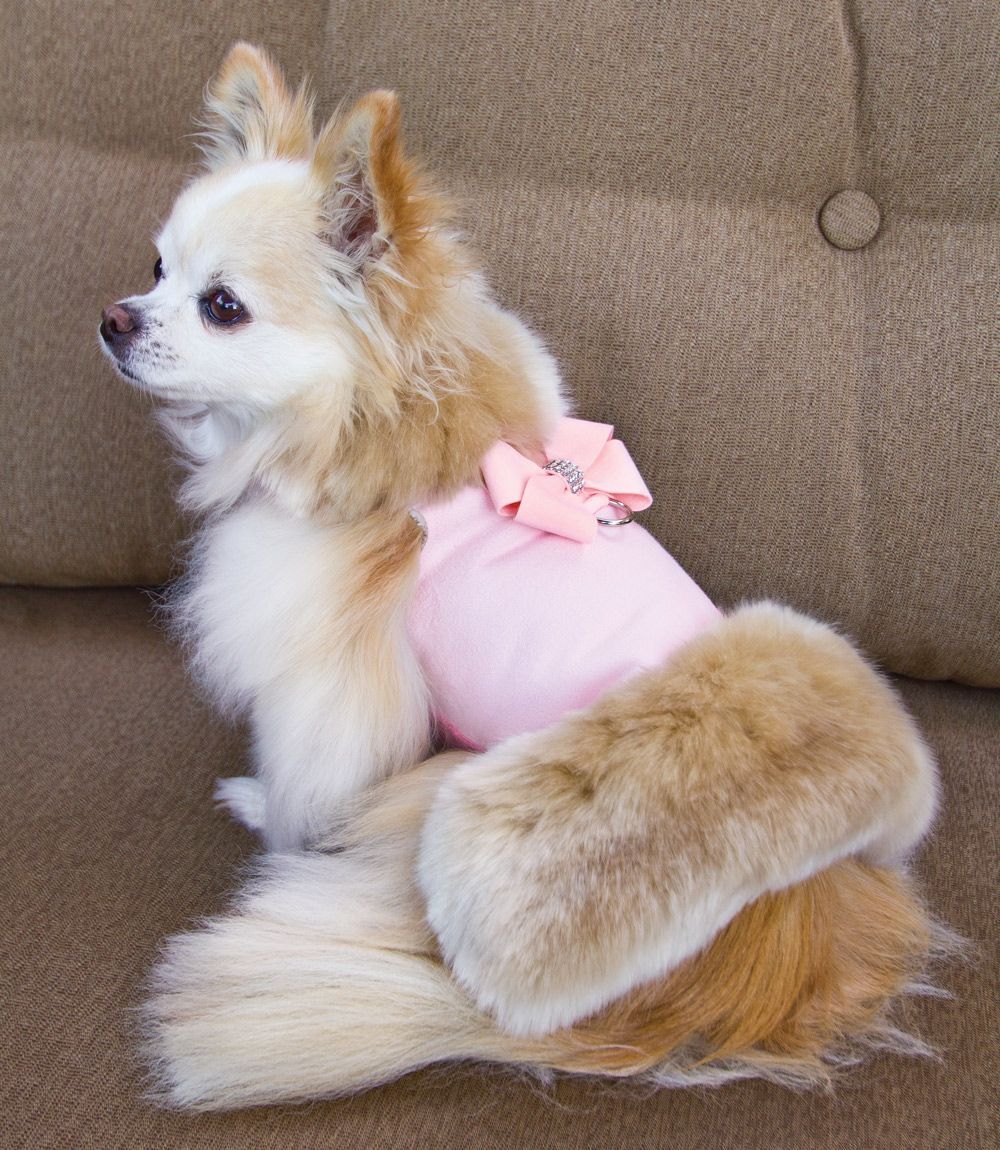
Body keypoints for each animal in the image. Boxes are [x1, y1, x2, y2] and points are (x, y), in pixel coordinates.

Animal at [99, 44, 946, 1109]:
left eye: (222, 308)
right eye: (154, 268)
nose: (114, 318)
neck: (381, 430)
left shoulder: (332, 682)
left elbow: (306, 779)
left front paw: (270, 816)